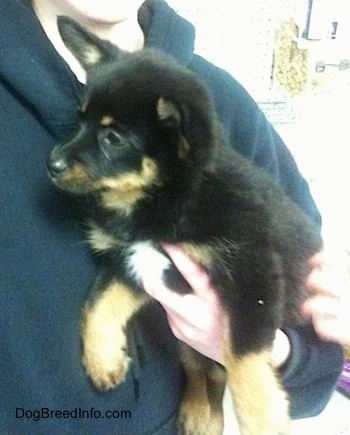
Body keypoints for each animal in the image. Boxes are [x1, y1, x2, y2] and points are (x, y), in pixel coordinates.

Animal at [47, 17, 322, 435]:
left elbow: (243, 360)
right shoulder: (135, 262)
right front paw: (103, 360)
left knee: (217, 369)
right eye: (80, 121)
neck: (166, 198)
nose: (52, 164)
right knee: (198, 368)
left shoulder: (252, 274)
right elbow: (98, 304)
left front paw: (262, 420)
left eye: (113, 138)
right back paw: (196, 412)